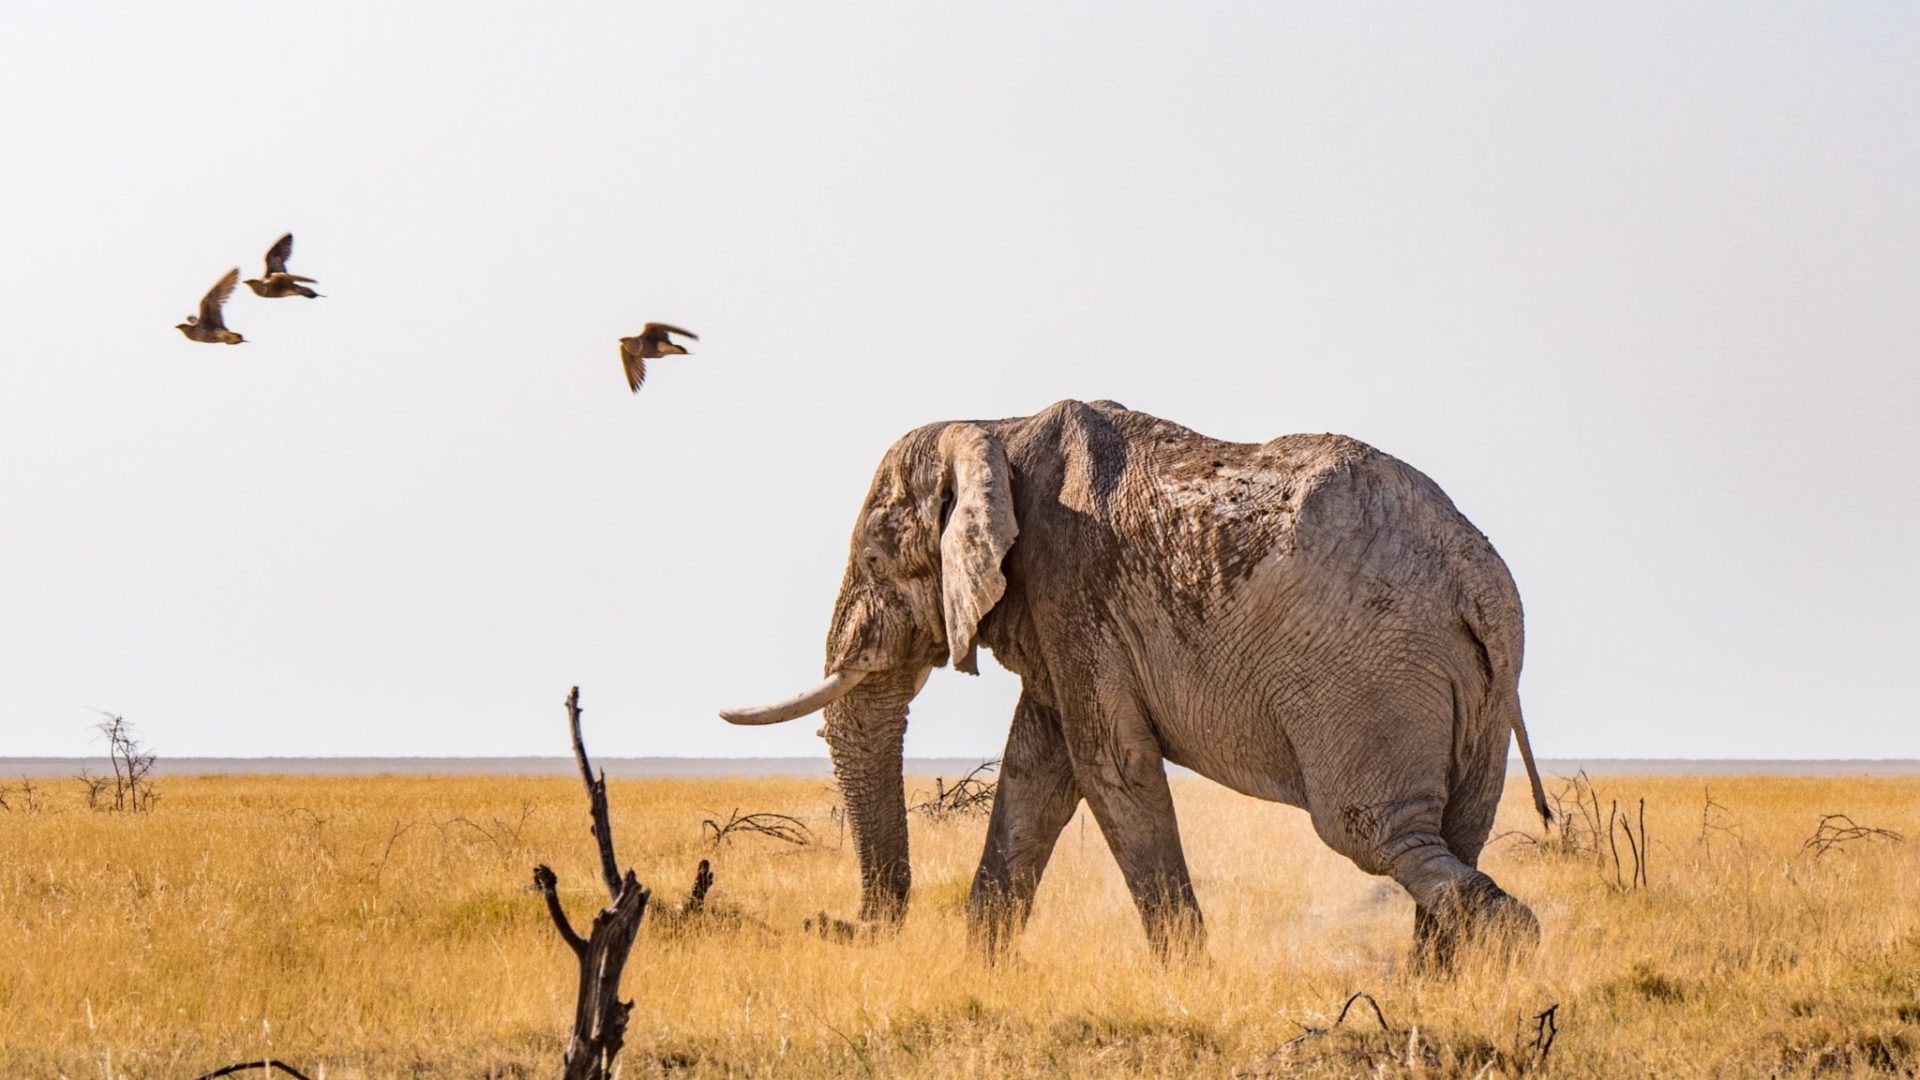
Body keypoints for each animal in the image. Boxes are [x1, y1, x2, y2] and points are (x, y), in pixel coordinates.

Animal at [721, 399, 1548, 962]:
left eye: (875, 559)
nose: (833, 925)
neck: (993, 428)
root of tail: (1481, 585)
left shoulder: (1074, 589)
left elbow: (1109, 768)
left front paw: (1190, 977)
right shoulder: (1059, 621)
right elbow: (1037, 772)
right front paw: (981, 967)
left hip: (1371, 677)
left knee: (1375, 832)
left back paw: (1511, 945)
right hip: (1475, 692)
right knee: (1456, 831)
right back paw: (1440, 984)